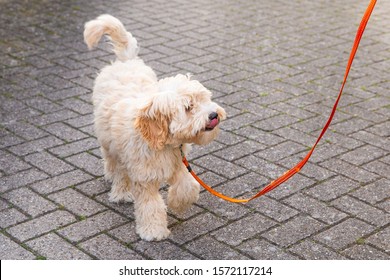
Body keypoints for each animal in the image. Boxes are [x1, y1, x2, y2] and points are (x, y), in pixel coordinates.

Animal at [84, 14, 227, 241]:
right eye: (188, 107)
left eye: (205, 99)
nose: (213, 115)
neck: (163, 143)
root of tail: (126, 61)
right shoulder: (144, 177)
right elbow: (150, 205)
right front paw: (153, 231)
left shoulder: (178, 164)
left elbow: (188, 186)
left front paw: (178, 204)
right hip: (110, 143)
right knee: (115, 166)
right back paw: (120, 191)